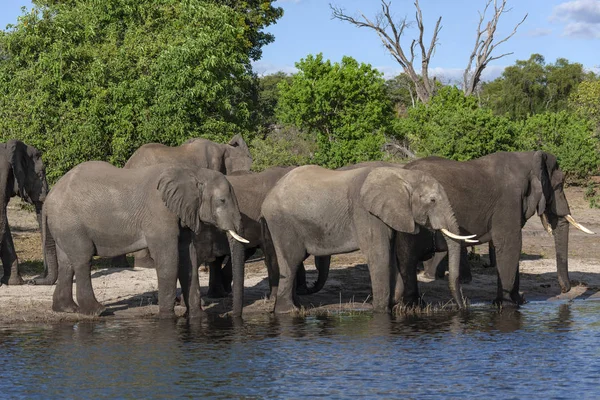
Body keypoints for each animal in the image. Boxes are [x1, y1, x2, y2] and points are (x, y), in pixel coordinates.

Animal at [31, 161, 247, 318]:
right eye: (222, 201)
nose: (230, 316)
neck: (193, 172)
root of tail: (49, 199)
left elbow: (189, 259)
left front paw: (197, 317)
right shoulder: (159, 214)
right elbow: (168, 261)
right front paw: (167, 317)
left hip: (63, 225)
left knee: (67, 263)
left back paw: (67, 309)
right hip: (71, 223)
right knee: (82, 259)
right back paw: (98, 312)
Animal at [262, 165, 474, 312]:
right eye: (432, 200)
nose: (463, 308)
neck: (402, 175)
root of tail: (269, 195)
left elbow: (391, 256)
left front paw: (393, 304)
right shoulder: (366, 214)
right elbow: (379, 255)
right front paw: (380, 310)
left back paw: (297, 308)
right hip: (282, 223)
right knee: (291, 260)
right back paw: (288, 311)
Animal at [398, 151, 596, 306]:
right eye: (559, 184)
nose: (565, 290)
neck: (529, 158)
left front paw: (519, 302)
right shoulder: (508, 201)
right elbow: (511, 245)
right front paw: (506, 305)